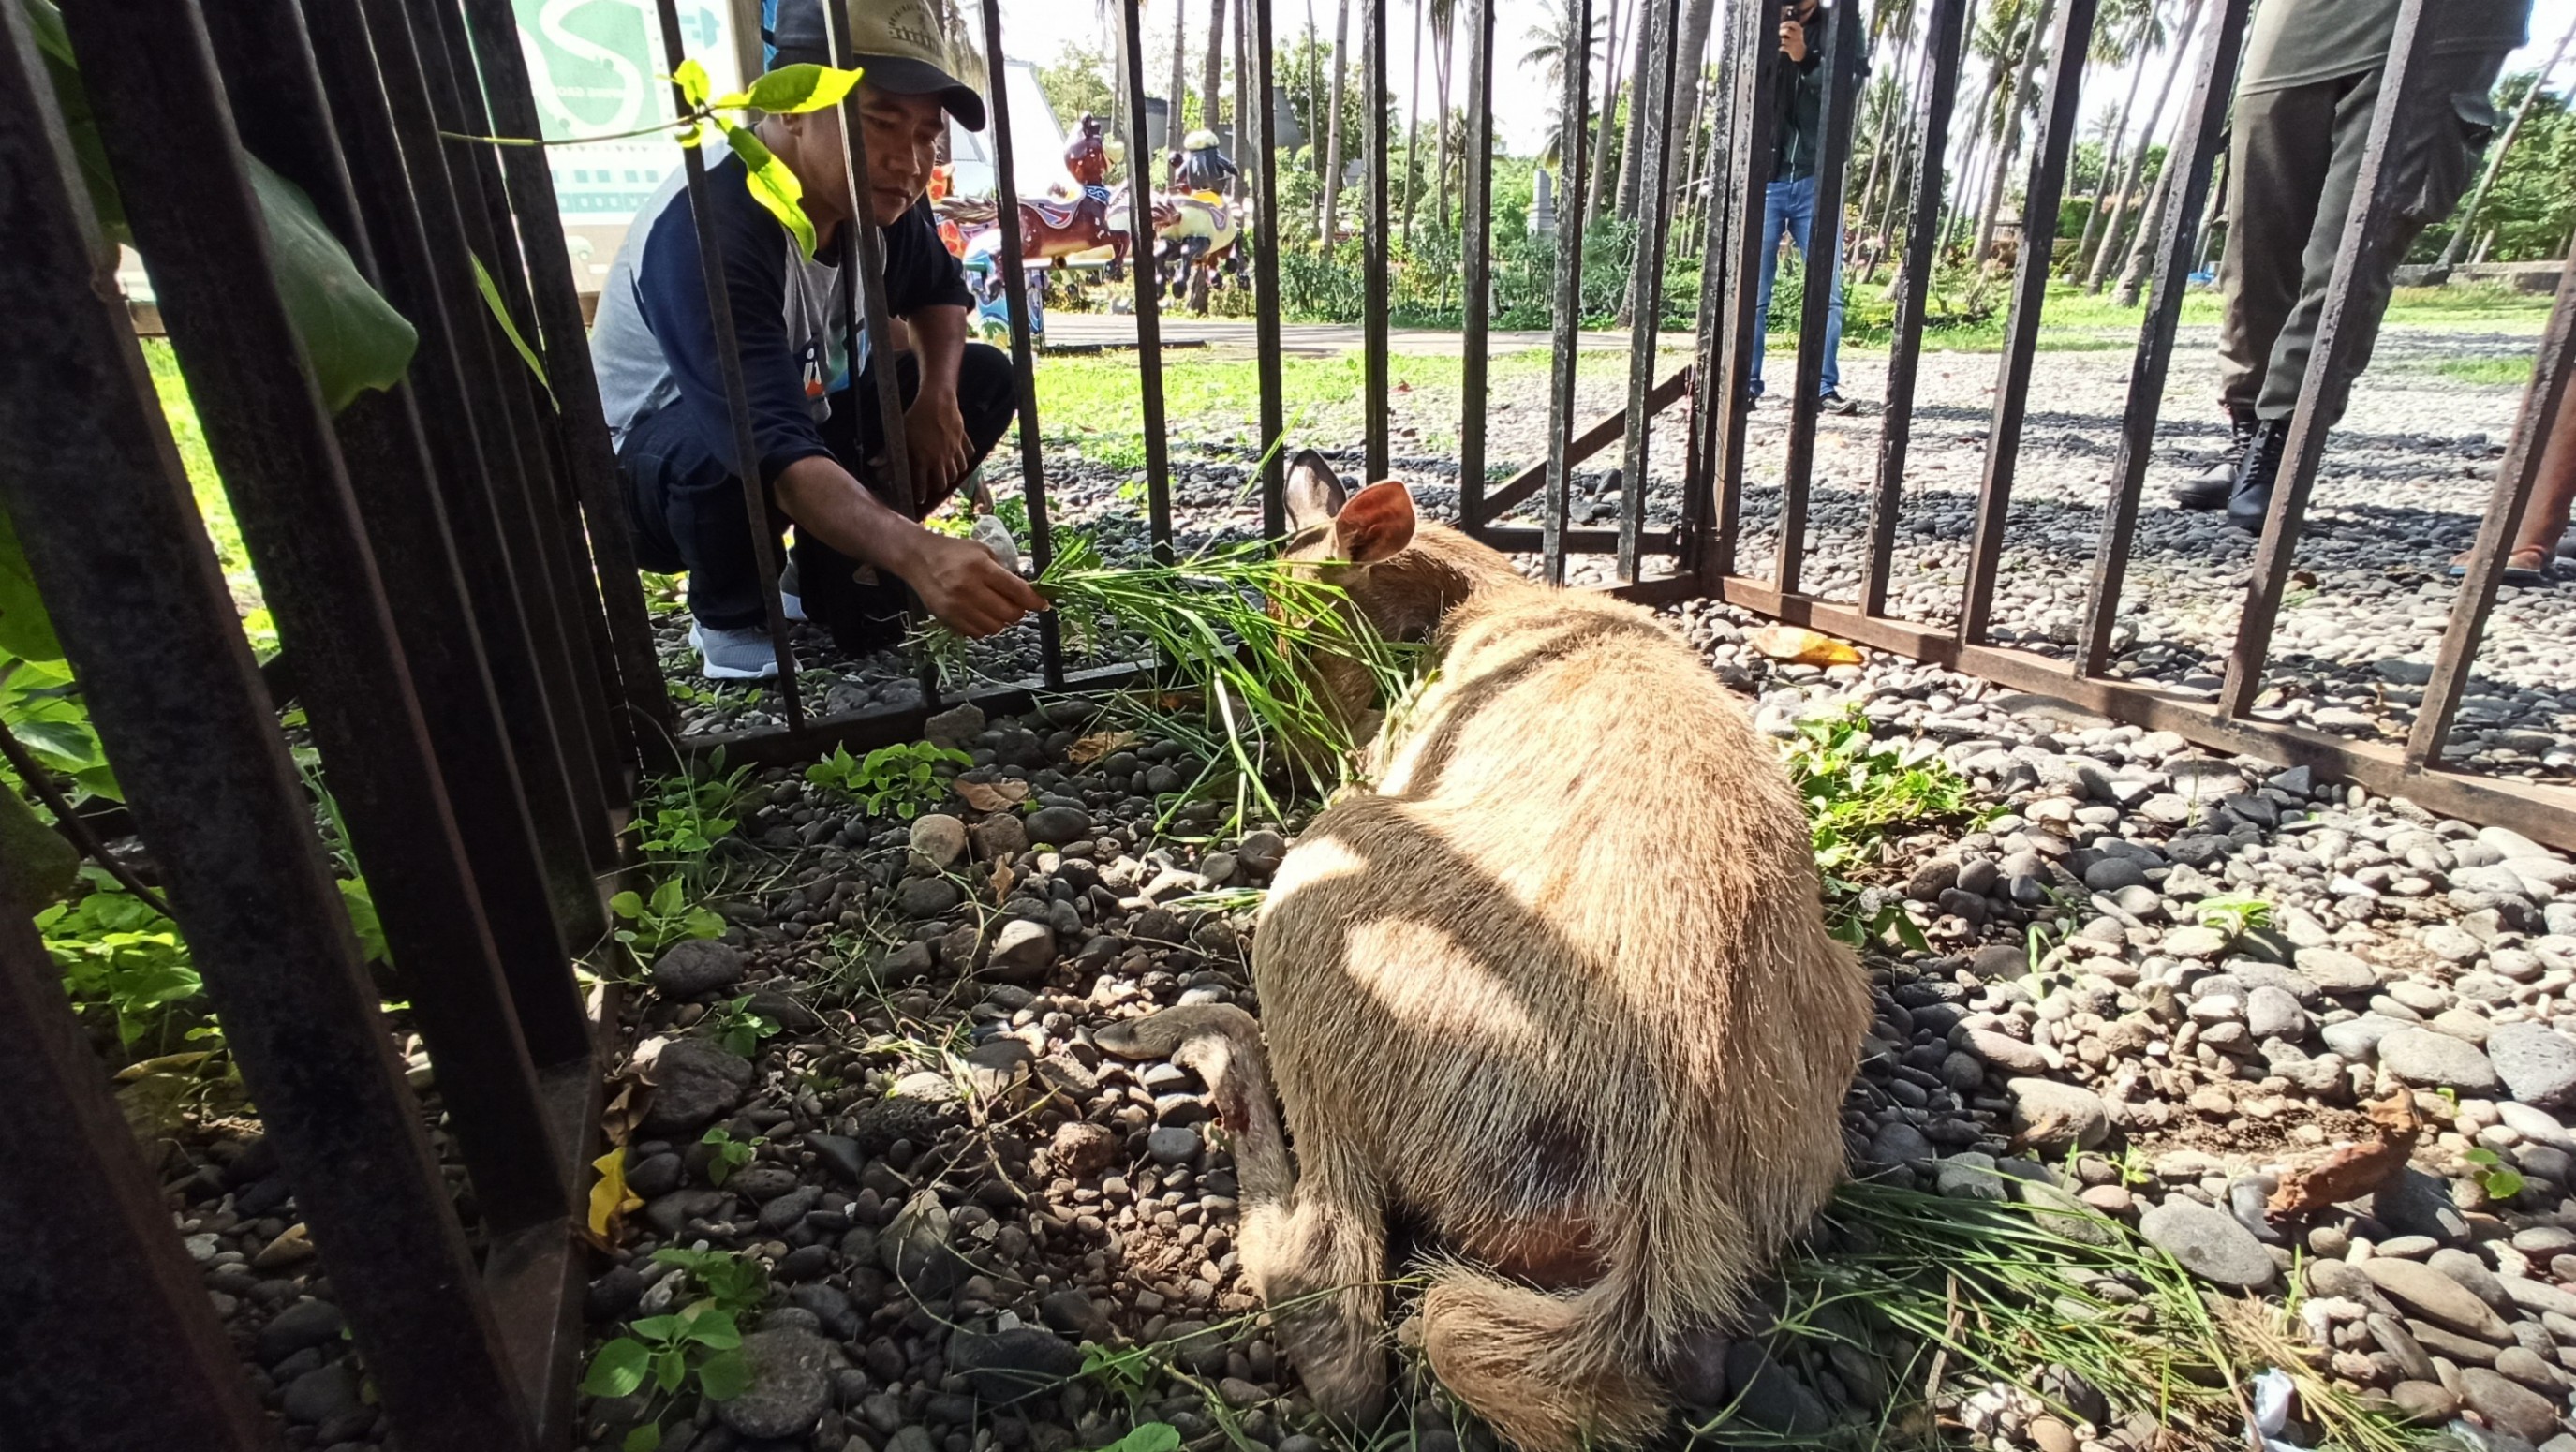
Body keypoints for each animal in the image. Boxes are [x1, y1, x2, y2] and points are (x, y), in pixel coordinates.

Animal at [1097, 452, 1865, 1452]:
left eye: (1281, 646)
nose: (1281, 765)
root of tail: (1661, 1190)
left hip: (1320, 902)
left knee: (1337, 1312)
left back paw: (1170, 1033)